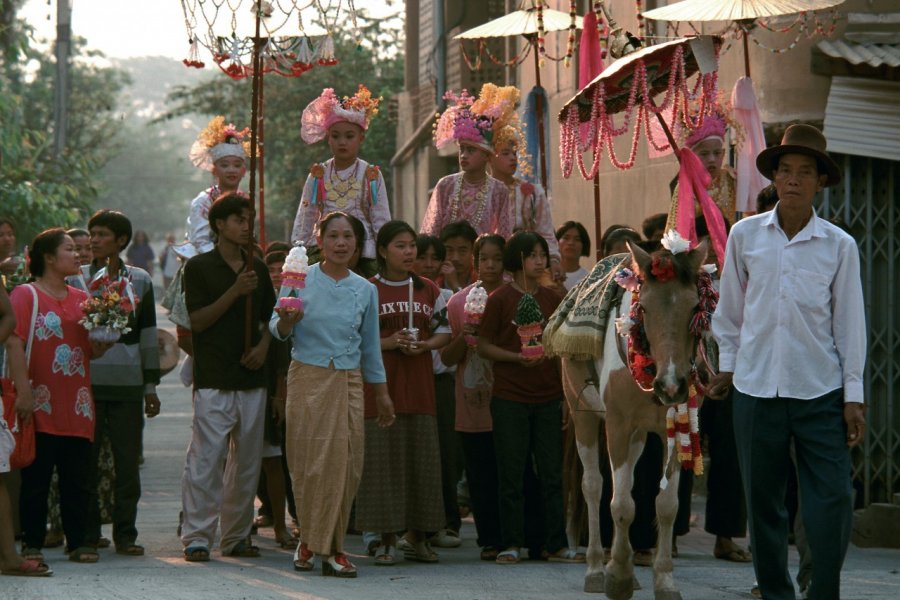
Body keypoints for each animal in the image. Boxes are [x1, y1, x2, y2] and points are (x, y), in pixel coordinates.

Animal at [564, 240, 712, 600]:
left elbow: (666, 505)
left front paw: (664, 579)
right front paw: (616, 576)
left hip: (637, 436)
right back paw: (594, 569)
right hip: (582, 414)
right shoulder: (617, 424)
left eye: (694, 307)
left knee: (627, 479)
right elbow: (621, 505)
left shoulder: (674, 425)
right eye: (643, 308)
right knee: (593, 486)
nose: (671, 385)